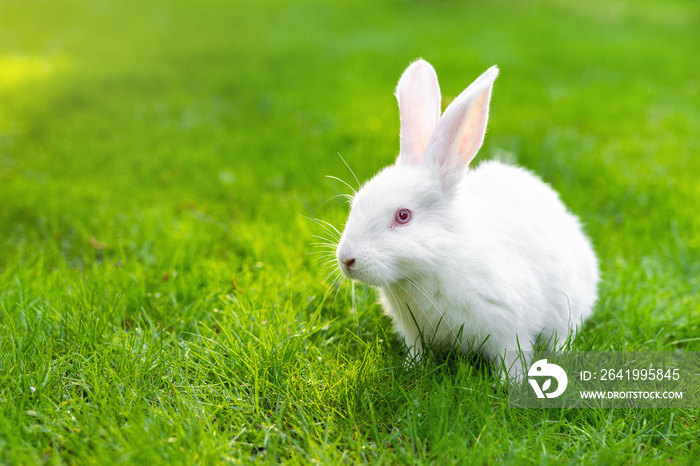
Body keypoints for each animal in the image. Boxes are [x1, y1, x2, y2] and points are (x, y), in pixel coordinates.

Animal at [336, 61, 600, 374]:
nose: (346, 260)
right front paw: (413, 368)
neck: (435, 263)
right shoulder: (414, 333)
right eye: (356, 204)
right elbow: (416, 351)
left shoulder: (508, 331)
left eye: (403, 216)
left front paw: (511, 382)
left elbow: (512, 358)